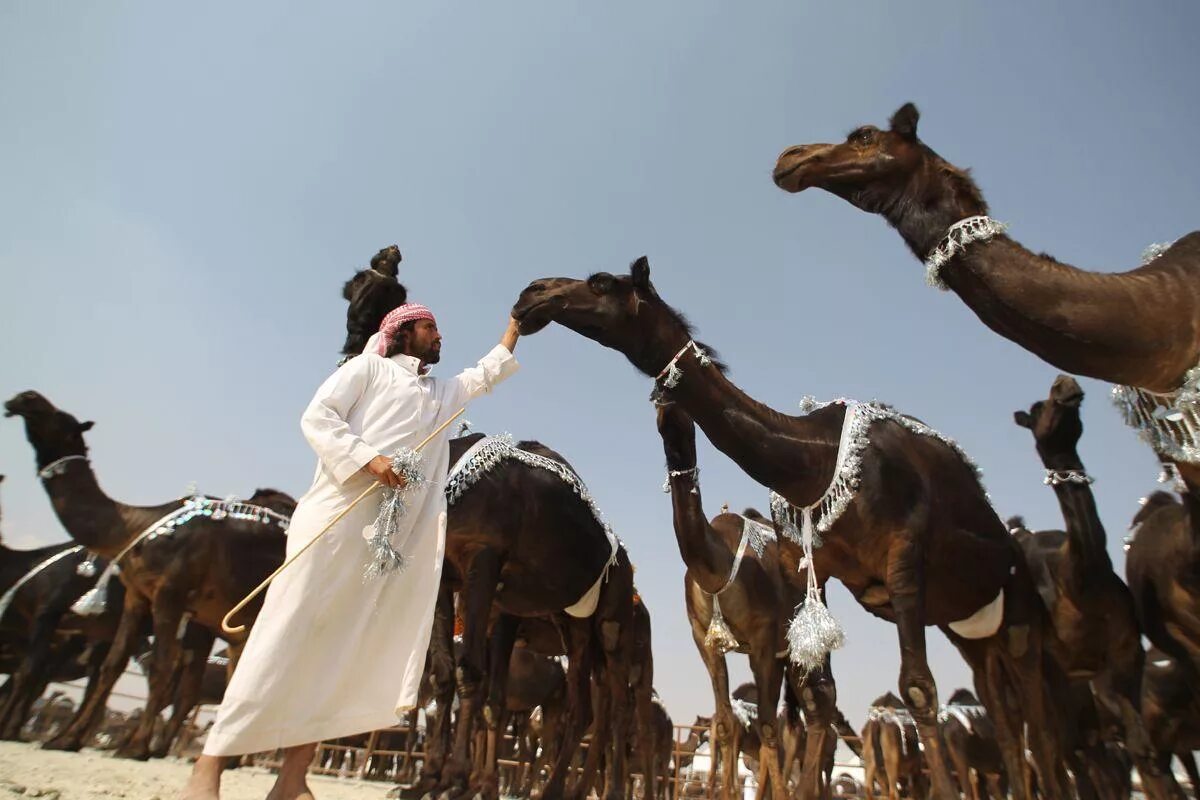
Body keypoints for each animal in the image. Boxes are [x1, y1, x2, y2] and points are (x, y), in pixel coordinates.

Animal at [4, 391, 292, 762]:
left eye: (62, 419)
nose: (23, 398)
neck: (136, 524)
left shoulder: (170, 591)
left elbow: (161, 667)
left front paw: (136, 747)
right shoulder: (137, 595)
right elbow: (112, 666)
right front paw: (64, 740)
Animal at [511, 256, 1075, 800]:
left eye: (601, 281)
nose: (531, 293)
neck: (814, 459)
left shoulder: (899, 556)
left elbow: (915, 687)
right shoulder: (798, 580)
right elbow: (794, 705)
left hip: (1015, 606)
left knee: (1038, 716)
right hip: (966, 624)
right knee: (1001, 716)